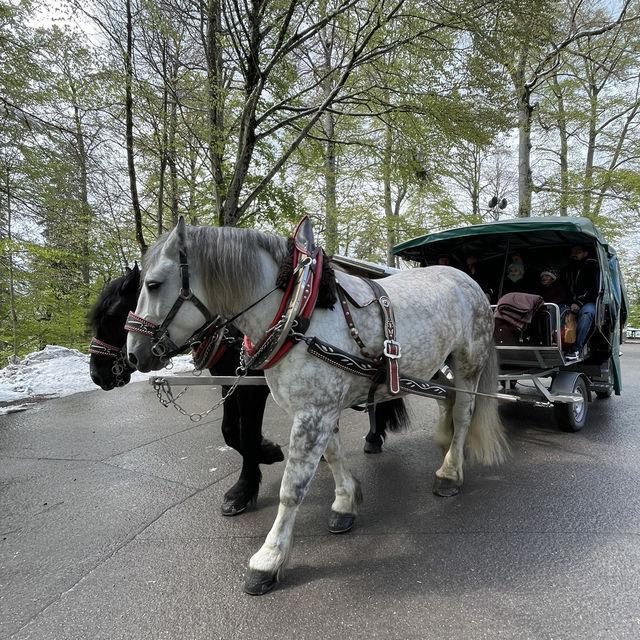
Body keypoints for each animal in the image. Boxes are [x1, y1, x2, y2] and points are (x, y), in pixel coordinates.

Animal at [87, 264, 408, 516]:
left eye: (113, 316)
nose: (97, 375)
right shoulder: (230, 380)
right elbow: (230, 430)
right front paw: (269, 453)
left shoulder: (252, 388)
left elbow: (247, 433)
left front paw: (244, 487)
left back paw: (373, 437)